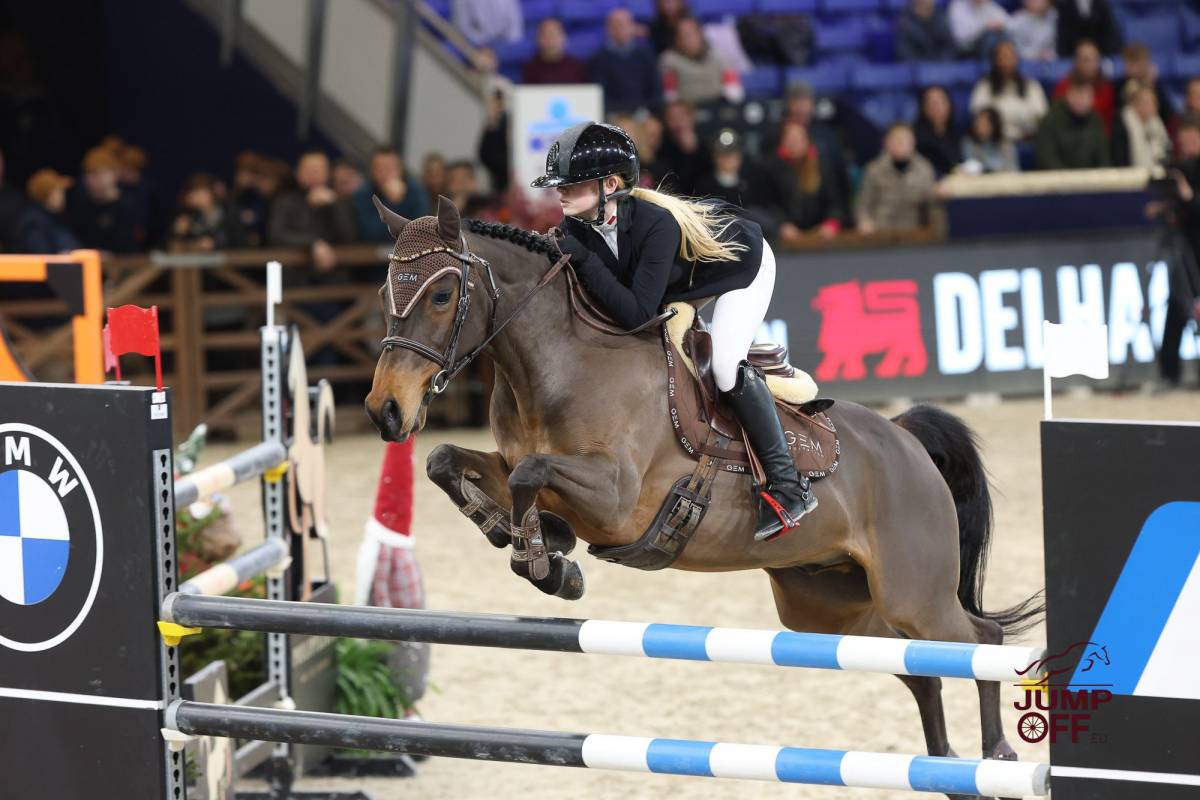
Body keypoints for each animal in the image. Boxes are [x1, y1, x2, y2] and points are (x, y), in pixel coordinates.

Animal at [364, 197, 1042, 797]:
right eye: (385, 294)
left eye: (442, 294)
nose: (385, 410)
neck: (556, 364)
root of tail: (905, 439)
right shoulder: (515, 465)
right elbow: (449, 463)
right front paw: (520, 534)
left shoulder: (615, 499)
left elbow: (531, 475)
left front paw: (547, 562)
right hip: (830, 604)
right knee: (919, 666)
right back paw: (943, 766)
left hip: (911, 593)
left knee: (980, 642)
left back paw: (996, 756)